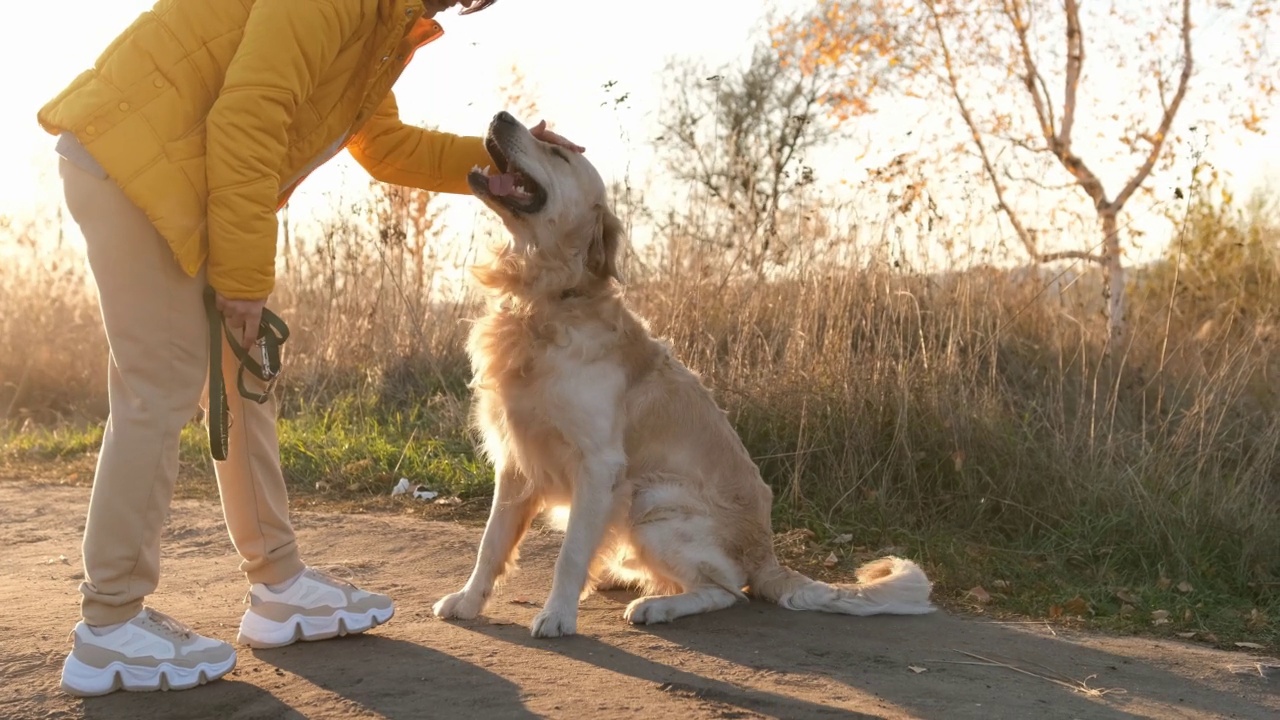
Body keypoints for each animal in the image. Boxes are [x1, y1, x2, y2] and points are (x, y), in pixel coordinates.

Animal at [430, 109, 931, 635]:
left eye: (557, 153)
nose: (502, 116)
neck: (543, 299)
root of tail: (767, 554)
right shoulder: (514, 459)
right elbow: (490, 543)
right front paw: (468, 600)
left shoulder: (599, 463)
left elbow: (569, 555)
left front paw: (558, 615)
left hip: (652, 500)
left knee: (726, 590)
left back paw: (656, 605)